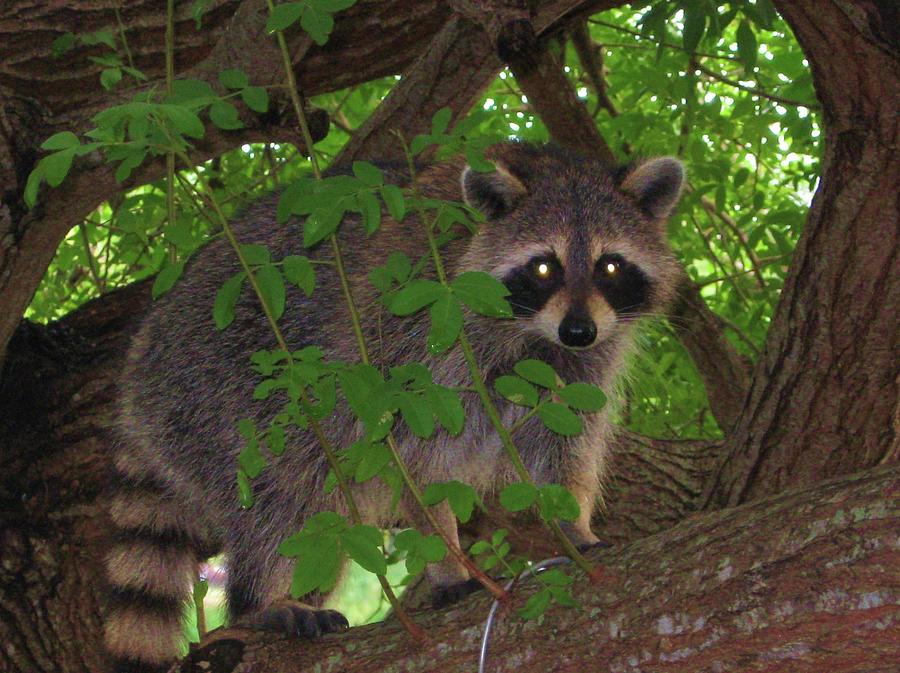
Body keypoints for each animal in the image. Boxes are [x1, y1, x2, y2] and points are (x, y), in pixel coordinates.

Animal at [105, 140, 684, 668]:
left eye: (610, 267)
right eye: (544, 269)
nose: (579, 330)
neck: (534, 334)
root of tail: (136, 369)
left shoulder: (582, 368)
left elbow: (565, 448)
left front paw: (573, 527)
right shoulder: (411, 345)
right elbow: (413, 459)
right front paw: (448, 560)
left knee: (318, 528)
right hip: (221, 393)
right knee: (280, 496)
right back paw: (264, 600)